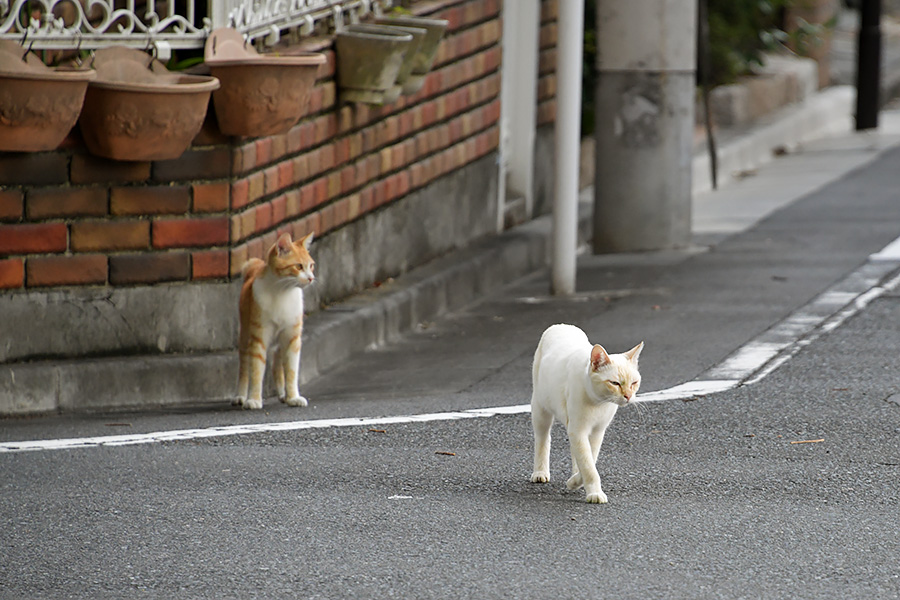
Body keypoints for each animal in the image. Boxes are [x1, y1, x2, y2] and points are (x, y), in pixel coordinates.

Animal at [236, 232, 316, 410]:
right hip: (245, 337)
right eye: (299, 266)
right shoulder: (258, 338)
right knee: (244, 367)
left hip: (280, 342)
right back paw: (240, 396)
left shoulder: (292, 338)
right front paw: (254, 399)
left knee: (278, 366)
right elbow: (256, 371)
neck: (282, 292)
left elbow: (291, 371)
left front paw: (293, 397)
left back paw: (283, 394)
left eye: (311, 266)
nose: (311, 278)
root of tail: (256, 267)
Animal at [532, 324, 644, 502]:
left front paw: (575, 481)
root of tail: (561, 325)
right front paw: (594, 493)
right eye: (615, 383)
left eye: (634, 383)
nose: (628, 396)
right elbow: (589, 466)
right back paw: (540, 472)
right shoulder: (578, 430)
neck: (599, 403)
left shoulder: (596, 432)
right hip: (540, 410)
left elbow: (589, 459)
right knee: (543, 439)